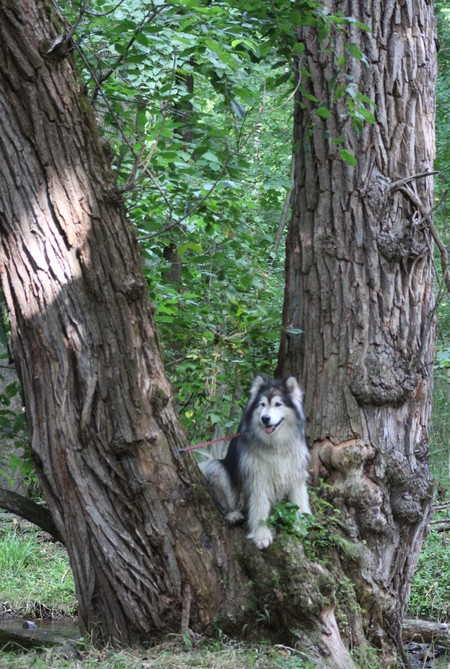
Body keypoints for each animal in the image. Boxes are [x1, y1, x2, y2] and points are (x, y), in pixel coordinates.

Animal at [199, 374, 312, 552]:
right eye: (262, 404)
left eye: (278, 404)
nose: (265, 418)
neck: (276, 443)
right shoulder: (258, 478)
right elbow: (260, 508)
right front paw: (261, 535)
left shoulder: (295, 471)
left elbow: (299, 500)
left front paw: (301, 524)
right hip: (217, 469)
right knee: (229, 504)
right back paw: (234, 514)